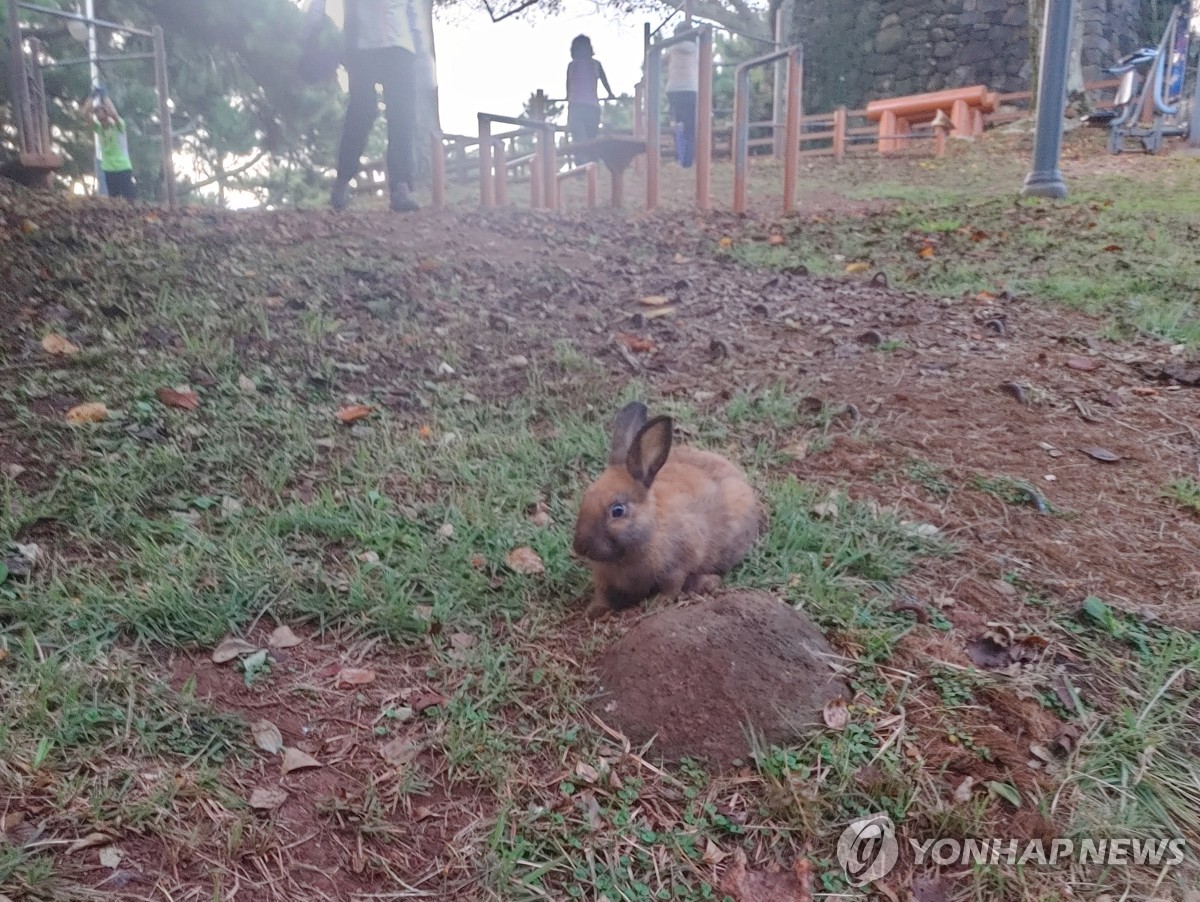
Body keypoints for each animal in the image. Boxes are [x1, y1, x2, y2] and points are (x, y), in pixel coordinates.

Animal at [568, 400, 758, 618]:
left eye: (617, 511)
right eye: (585, 497)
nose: (579, 546)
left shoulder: (676, 566)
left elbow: (672, 587)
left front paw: (657, 603)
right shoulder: (603, 579)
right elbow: (603, 595)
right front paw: (593, 610)